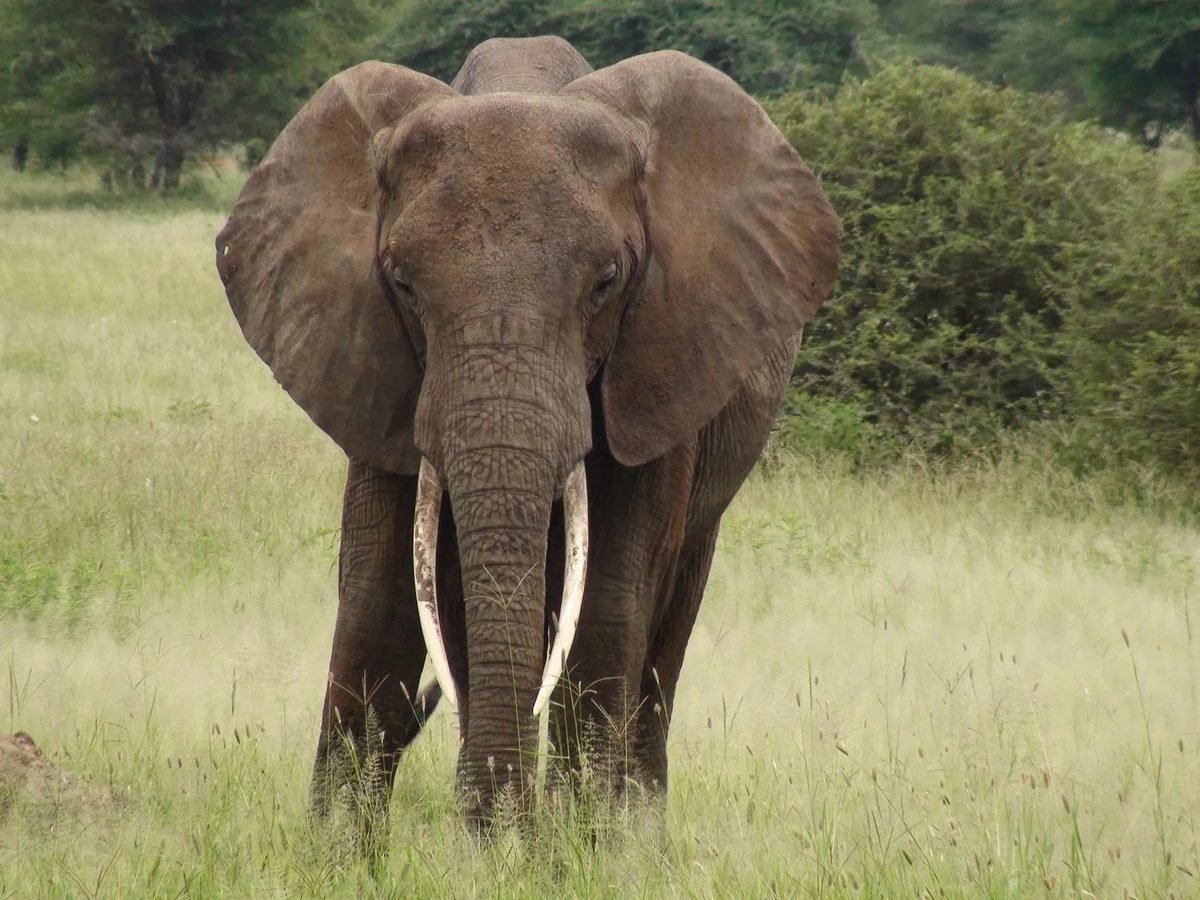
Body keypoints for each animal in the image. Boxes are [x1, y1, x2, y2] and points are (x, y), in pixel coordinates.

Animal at [215, 36, 839, 828]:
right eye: (403, 284)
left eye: (607, 282)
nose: (496, 830)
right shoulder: (371, 369)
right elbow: (379, 606)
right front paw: (341, 852)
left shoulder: (659, 368)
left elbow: (606, 608)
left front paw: (573, 846)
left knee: (660, 642)